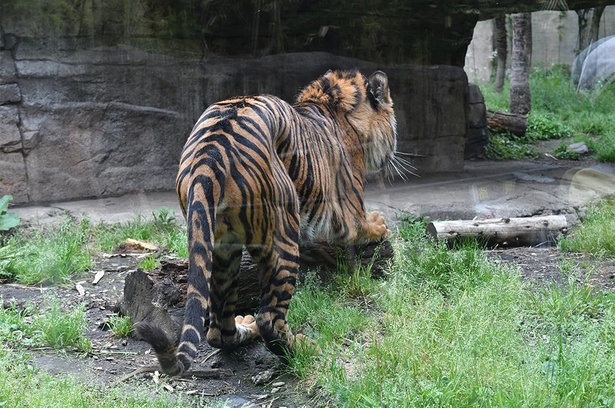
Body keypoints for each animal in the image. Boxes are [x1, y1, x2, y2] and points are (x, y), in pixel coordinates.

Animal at [136, 68, 400, 374]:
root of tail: (211, 151)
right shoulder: (349, 212)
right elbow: (363, 225)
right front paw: (380, 224)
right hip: (283, 232)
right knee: (269, 318)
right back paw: (302, 348)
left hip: (223, 249)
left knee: (217, 328)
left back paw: (244, 327)